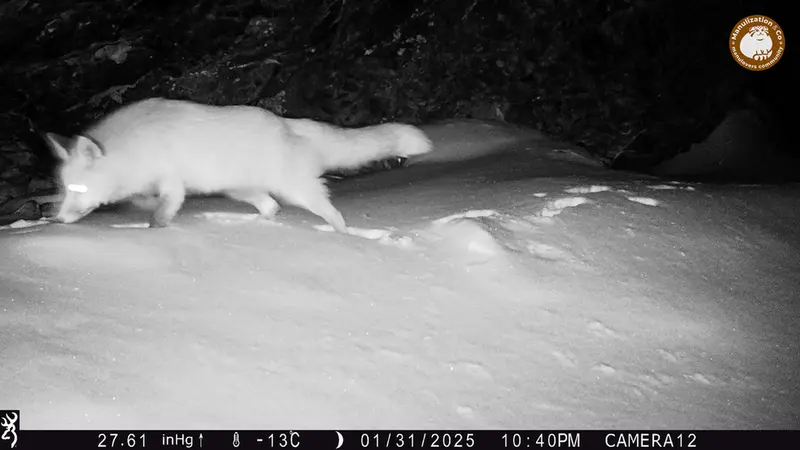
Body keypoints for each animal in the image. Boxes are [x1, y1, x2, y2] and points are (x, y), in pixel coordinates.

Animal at [42, 97, 433, 233]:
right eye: (64, 190)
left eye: (79, 189)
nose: (58, 220)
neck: (133, 150)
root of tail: (285, 122)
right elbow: (144, 204)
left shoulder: (172, 182)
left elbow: (161, 213)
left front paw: (155, 229)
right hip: (240, 191)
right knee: (271, 209)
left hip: (297, 190)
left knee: (331, 214)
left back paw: (344, 236)